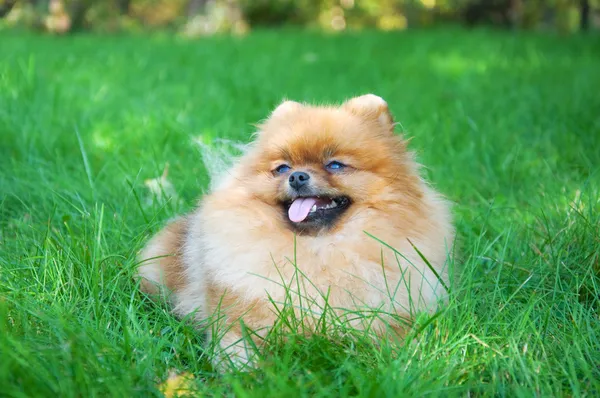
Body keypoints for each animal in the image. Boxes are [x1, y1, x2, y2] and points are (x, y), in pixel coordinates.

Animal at [137, 95, 454, 368]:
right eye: (282, 168)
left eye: (335, 165)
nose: (297, 176)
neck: (317, 250)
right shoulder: (240, 319)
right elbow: (239, 348)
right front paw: (246, 375)